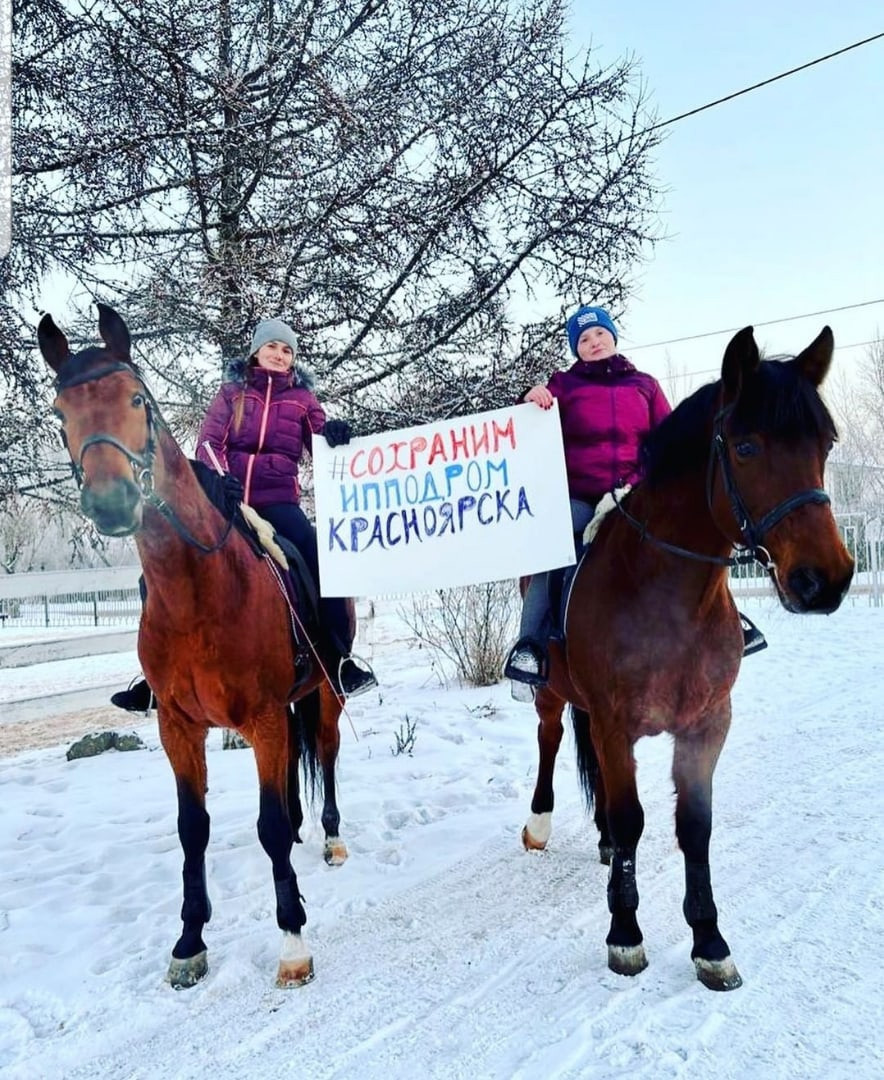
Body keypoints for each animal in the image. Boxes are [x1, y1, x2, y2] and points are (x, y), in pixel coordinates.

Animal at [38, 302, 351, 989]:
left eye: (136, 398)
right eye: (60, 412)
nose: (111, 501)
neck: (197, 592)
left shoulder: (263, 718)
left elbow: (266, 824)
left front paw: (292, 939)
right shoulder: (179, 728)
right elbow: (193, 829)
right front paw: (189, 941)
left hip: (325, 692)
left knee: (326, 755)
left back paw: (331, 838)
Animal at [522, 324, 854, 989]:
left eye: (825, 443)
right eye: (746, 447)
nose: (823, 581)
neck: (664, 594)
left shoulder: (707, 723)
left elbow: (693, 826)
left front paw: (709, 941)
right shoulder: (616, 724)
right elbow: (631, 818)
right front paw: (625, 935)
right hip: (550, 691)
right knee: (549, 736)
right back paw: (540, 823)